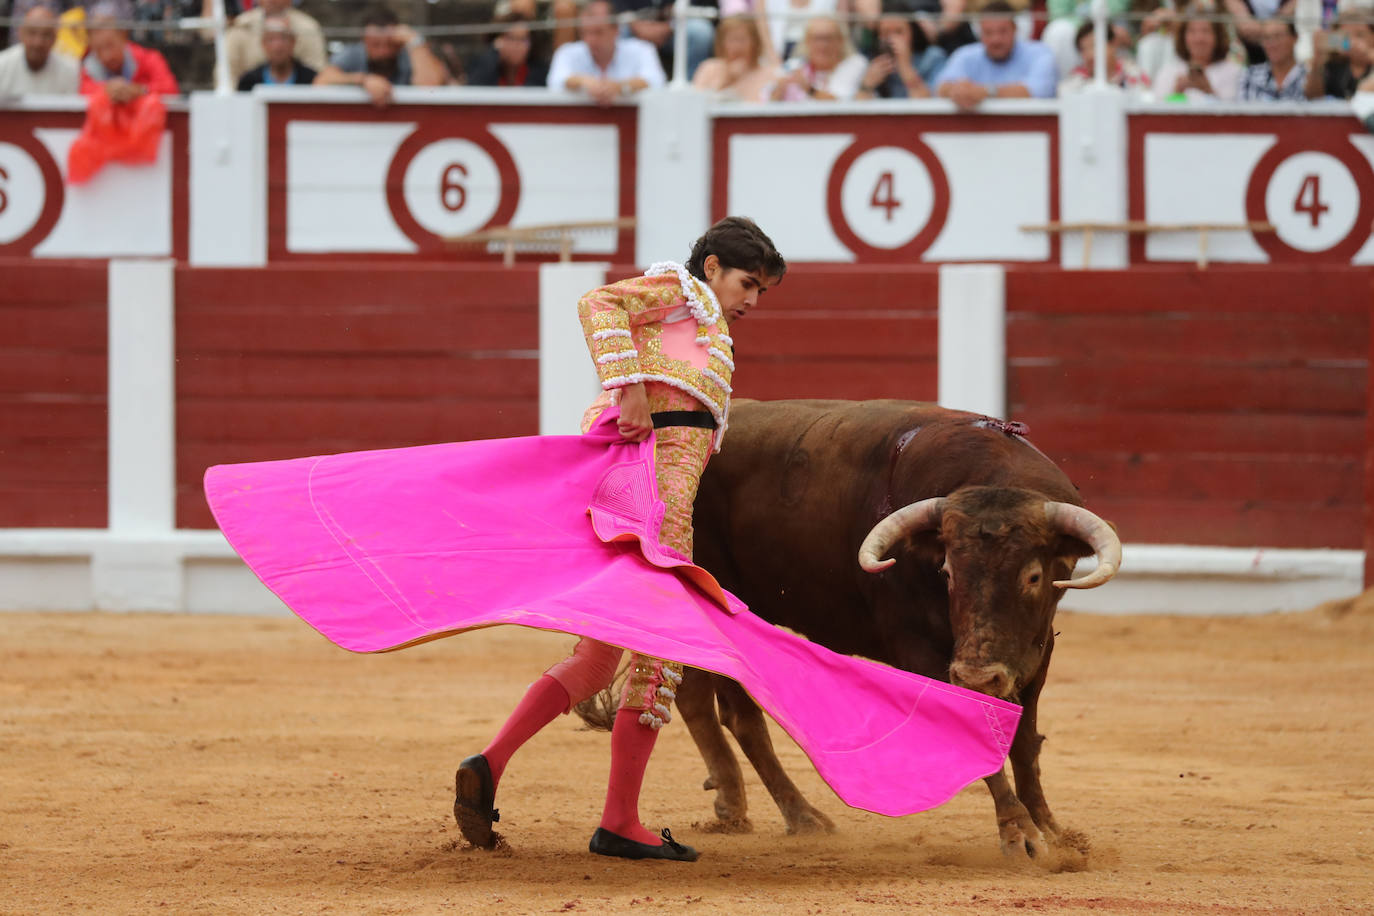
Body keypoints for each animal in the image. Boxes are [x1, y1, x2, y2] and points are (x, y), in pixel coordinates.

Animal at [676, 401, 1115, 862]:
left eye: (1033, 577)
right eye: (947, 572)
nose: (978, 677)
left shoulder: (1038, 650)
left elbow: (1025, 741)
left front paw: (1053, 832)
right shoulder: (921, 653)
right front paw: (1020, 832)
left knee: (696, 697)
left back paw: (732, 804)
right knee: (742, 716)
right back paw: (804, 817)